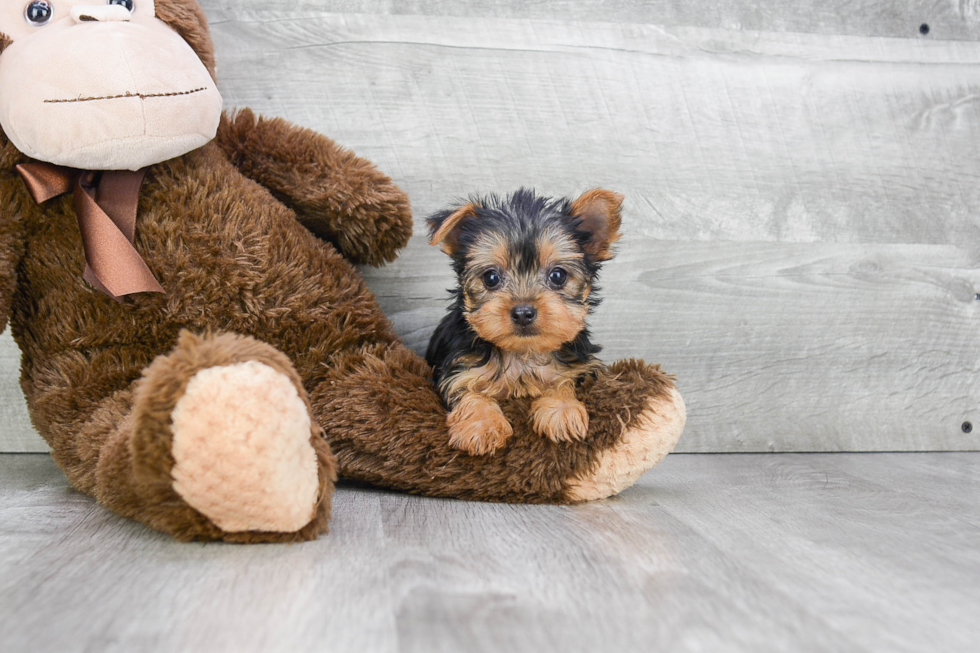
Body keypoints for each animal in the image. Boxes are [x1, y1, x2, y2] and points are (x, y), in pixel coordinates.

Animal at [424, 187, 624, 454]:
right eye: (491, 277)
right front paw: (482, 426)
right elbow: (469, 392)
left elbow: (565, 381)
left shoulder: (583, 367)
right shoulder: (458, 368)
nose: (523, 312)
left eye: (558, 275)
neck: (523, 353)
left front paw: (562, 412)